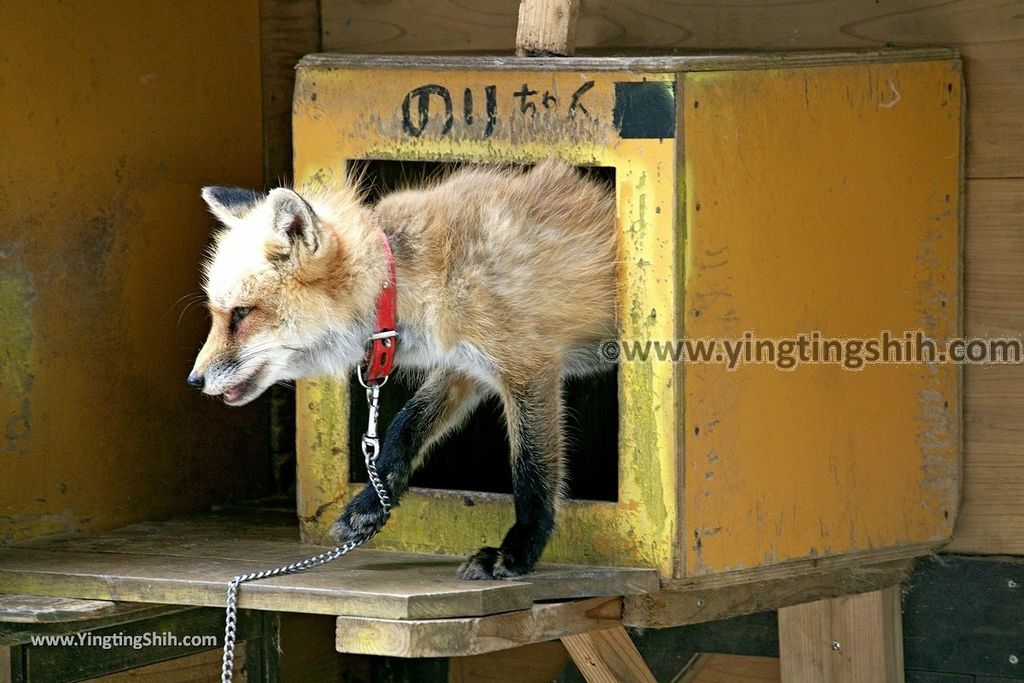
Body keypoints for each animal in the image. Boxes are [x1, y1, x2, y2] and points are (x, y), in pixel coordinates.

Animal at [189, 161, 618, 581]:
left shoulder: (528, 365)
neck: (403, 282)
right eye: (219, 313)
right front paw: (370, 503)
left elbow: (531, 470)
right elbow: (408, 422)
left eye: (242, 313)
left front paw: (517, 551)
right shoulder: (464, 364)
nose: (194, 380)